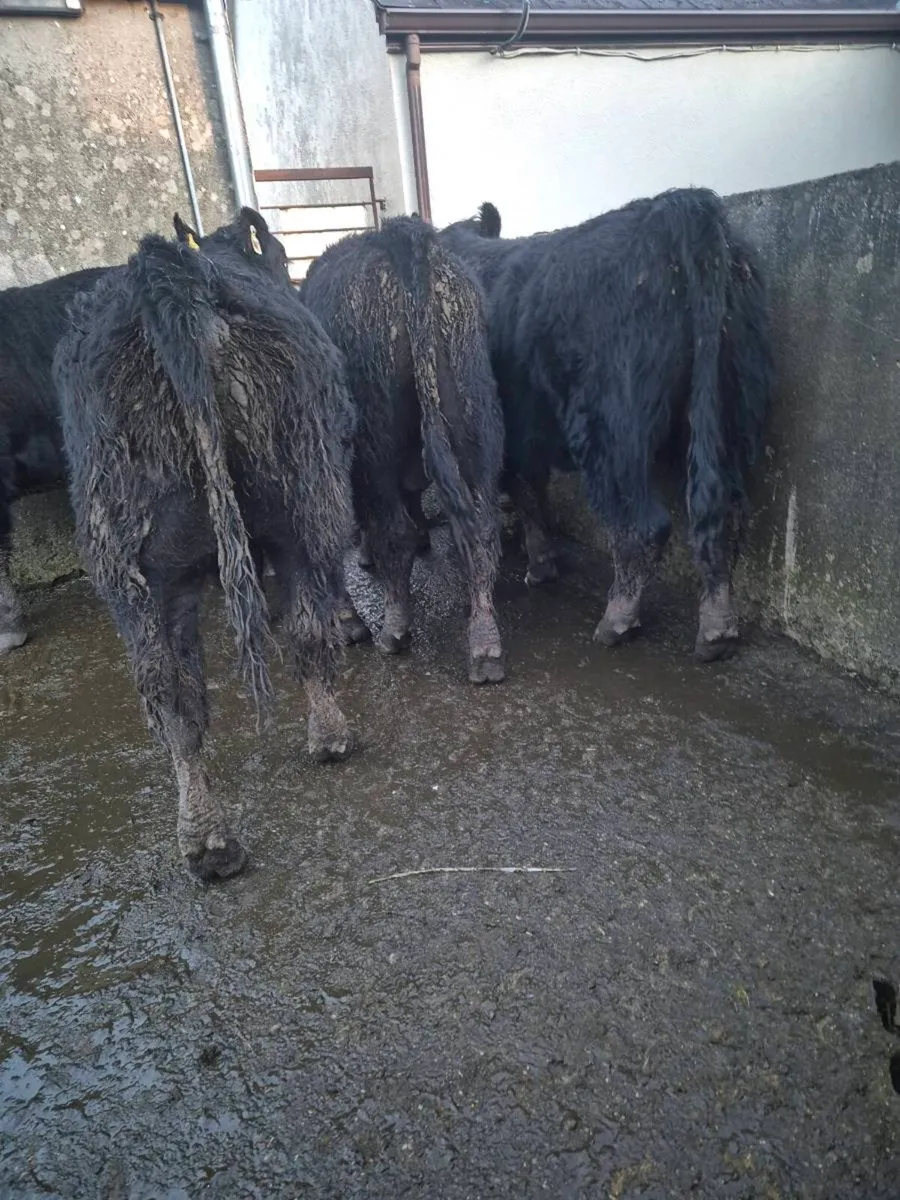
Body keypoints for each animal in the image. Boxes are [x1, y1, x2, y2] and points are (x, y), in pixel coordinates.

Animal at [54, 208, 356, 881]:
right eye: (279, 258)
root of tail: (169, 276)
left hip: (135, 564)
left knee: (171, 691)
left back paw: (207, 839)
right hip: (302, 500)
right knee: (306, 628)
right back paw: (329, 737)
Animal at [300, 216, 506, 684]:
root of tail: (404, 238)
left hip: (374, 441)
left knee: (393, 529)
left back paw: (394, 628)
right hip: (472, 417)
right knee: (482, 530)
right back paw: (485, 644)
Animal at [440, 189, 772, 660]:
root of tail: (680, 206)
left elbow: (523, 492)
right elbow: (532, 492)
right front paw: (543, 562)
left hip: (612, 434)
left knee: (643, 526)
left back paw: (618, 618)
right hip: (731, 408)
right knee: (722, 515)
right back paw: (717, 630)